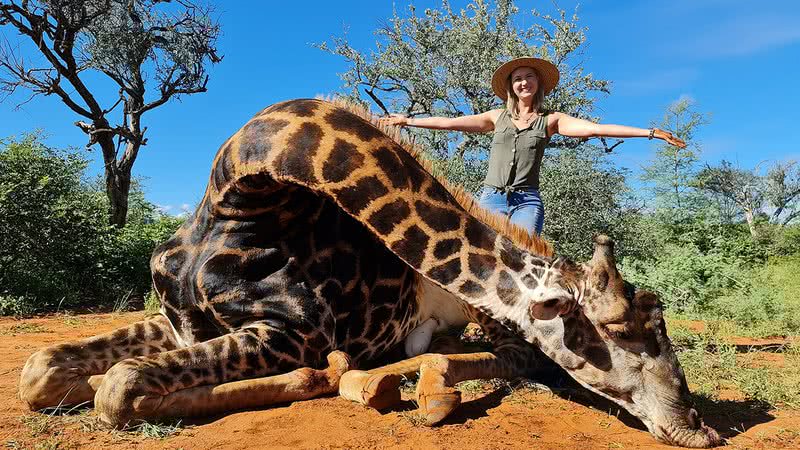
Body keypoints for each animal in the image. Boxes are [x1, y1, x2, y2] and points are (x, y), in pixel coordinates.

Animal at [17, 100, 720, 448]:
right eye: (624, 334)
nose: (698, 427)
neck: (237, 199)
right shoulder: (179, 321)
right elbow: (41, 372)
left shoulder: (290, 335)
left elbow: (118, 388)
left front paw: (322, 378)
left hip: (480, 322)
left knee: (514, 358)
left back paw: (406, 386)